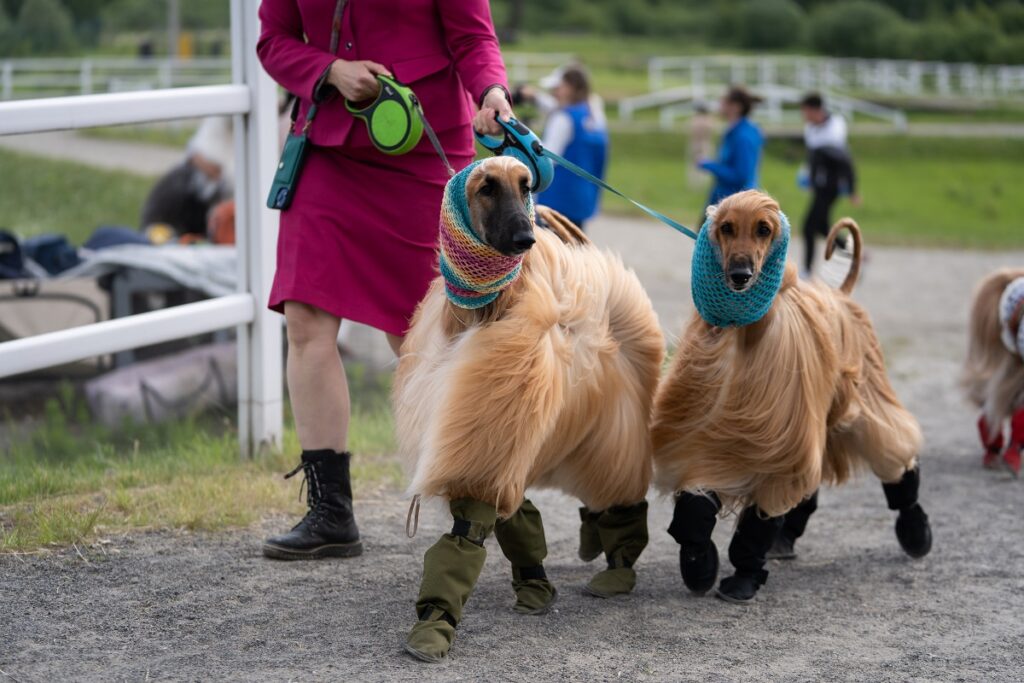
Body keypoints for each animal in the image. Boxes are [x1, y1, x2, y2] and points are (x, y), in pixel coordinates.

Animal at [391, 156, 663, 663]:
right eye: (487, 188)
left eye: (527, 186)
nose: (526, 239)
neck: (484, 313)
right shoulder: (492, 434)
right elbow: (498, 518)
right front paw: (440, 622)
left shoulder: (490, 425)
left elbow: (475, 523)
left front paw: (434, 624)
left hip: (614, 433)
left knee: (621, 494)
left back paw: (617, 568)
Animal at [651, 191, 933, 602]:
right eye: (726, 227)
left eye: (764, 229)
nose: (740, 276)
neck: (745, 339)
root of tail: (841, 294)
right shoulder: (706, 432)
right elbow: (693, 510)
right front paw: (699, 562)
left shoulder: (776, 439)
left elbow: (758, 521)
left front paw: (743, 578)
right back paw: (786, 539)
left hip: (862, 398)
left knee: (893, 448)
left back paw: (915, 531)